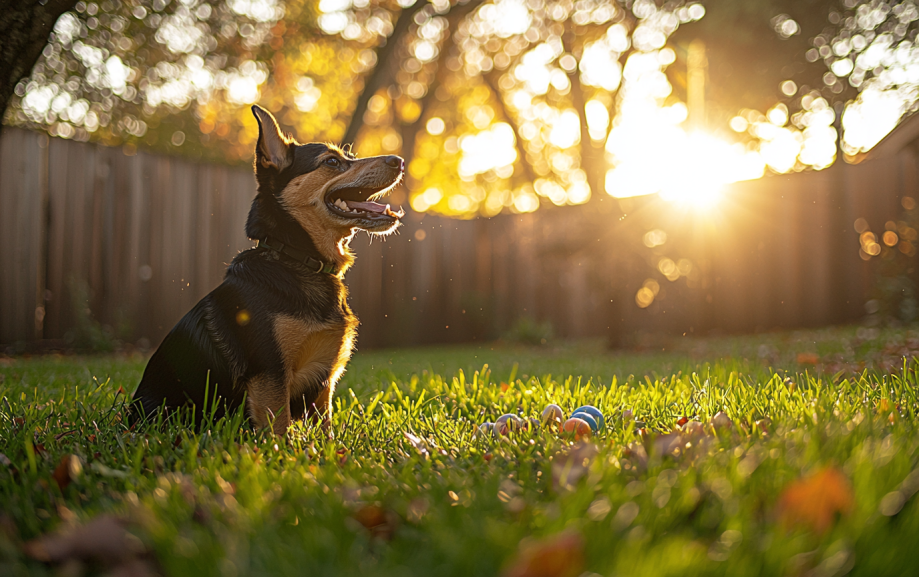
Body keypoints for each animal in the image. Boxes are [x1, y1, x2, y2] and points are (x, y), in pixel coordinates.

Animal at [131, 103, 404, 432]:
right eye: (332, 162)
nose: (399, 161)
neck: (295, 259)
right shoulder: (270, 374)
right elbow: (280, 428)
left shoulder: (323, 383)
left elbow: (325, 429)